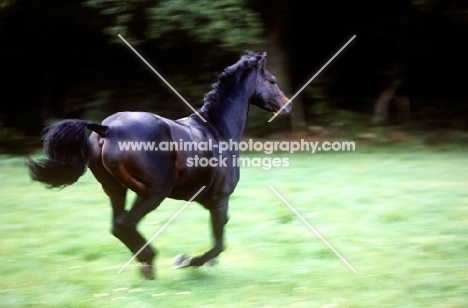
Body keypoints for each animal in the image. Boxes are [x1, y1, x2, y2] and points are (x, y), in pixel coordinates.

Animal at [27, 51, 290, 280]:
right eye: (272, 81)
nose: (287, 106)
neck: (217, 129)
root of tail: (107, 129)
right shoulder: (219, 199)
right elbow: (219, 243)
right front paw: (187, 261)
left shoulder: (209, 202)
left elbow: (220, 233)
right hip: (154, 192)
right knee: (124, 224)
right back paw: (150, 260)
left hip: (116, 190)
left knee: (117, 226)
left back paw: (146, 267)